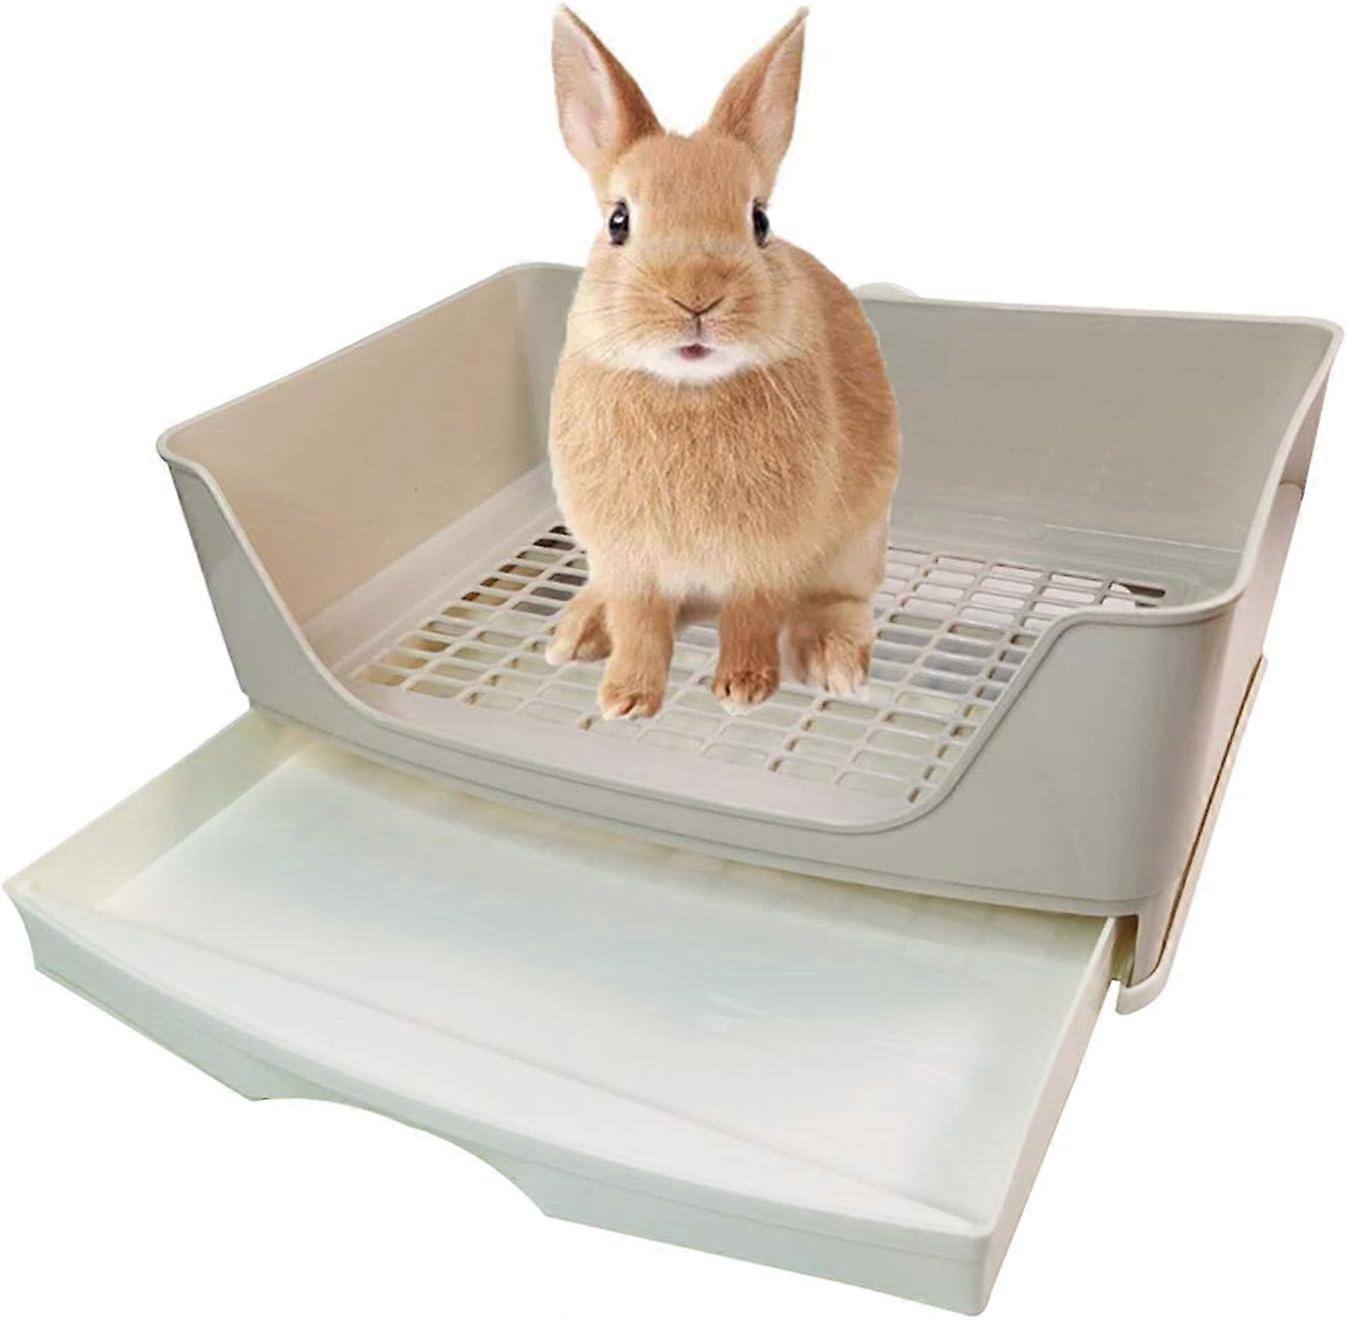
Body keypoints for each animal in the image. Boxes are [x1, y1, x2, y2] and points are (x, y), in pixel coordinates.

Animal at [547, 7, 899, 720]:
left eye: (760, 220)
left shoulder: (762, 562)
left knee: (837, 602)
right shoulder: (629, 564)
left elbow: (750, 619)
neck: (687, 388)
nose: (696, 296)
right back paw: (578, 631)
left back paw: (834, 662)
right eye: (618, 221)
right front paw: (625, 698)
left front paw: (743, 688)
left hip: (856, 545)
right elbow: (640, 627)